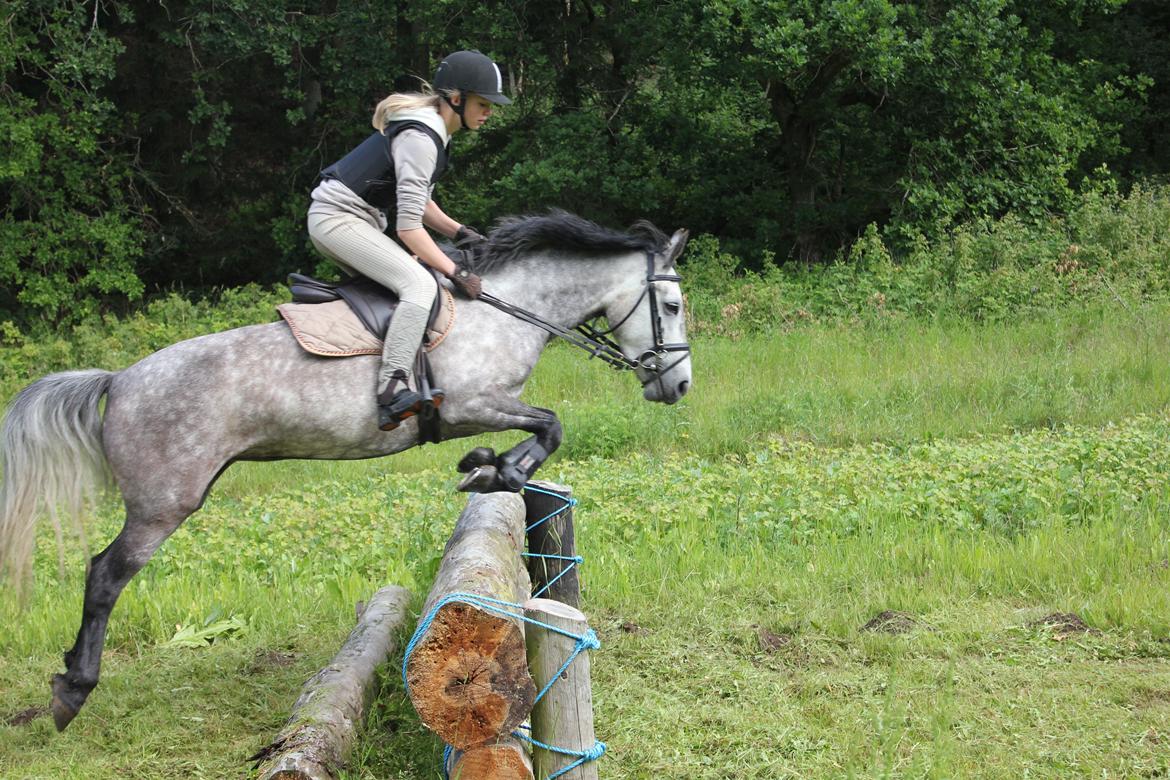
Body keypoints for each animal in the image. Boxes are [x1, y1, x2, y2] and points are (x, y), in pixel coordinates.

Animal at [0, 209, 687, 734]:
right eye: (674, 304)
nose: (678, 386)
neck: (506, 309)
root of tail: (117, 379)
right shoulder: (469, 404)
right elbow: (550, 425)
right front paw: (495, 472)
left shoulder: (479, 409)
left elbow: (540, 429)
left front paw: (487, 467)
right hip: (164, 503)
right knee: (105, 575)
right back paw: (72, 690)